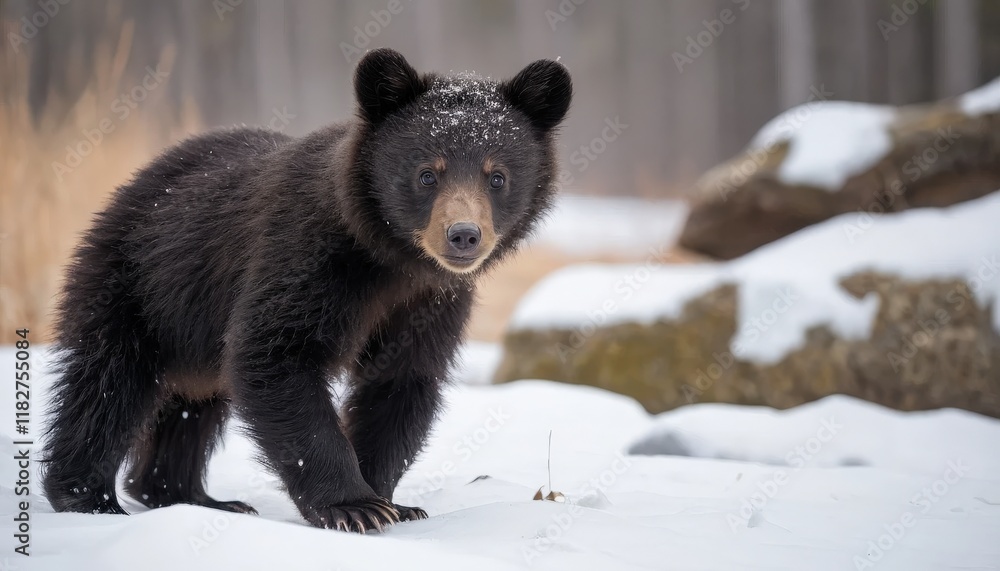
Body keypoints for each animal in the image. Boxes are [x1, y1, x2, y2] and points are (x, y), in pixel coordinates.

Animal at [40, 48, 572, 532]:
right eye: (427, 173)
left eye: (497, 176)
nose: (463, 236)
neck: (390, 260)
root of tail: (135, 183)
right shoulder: (306, 259)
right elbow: (277, 354)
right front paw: (351, 506)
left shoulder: (428, 303)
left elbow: (400, 382)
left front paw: (391, 502)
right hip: (138, 283)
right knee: (107, 385)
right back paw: (89, 497)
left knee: (191, 409)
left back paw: (196, 497)